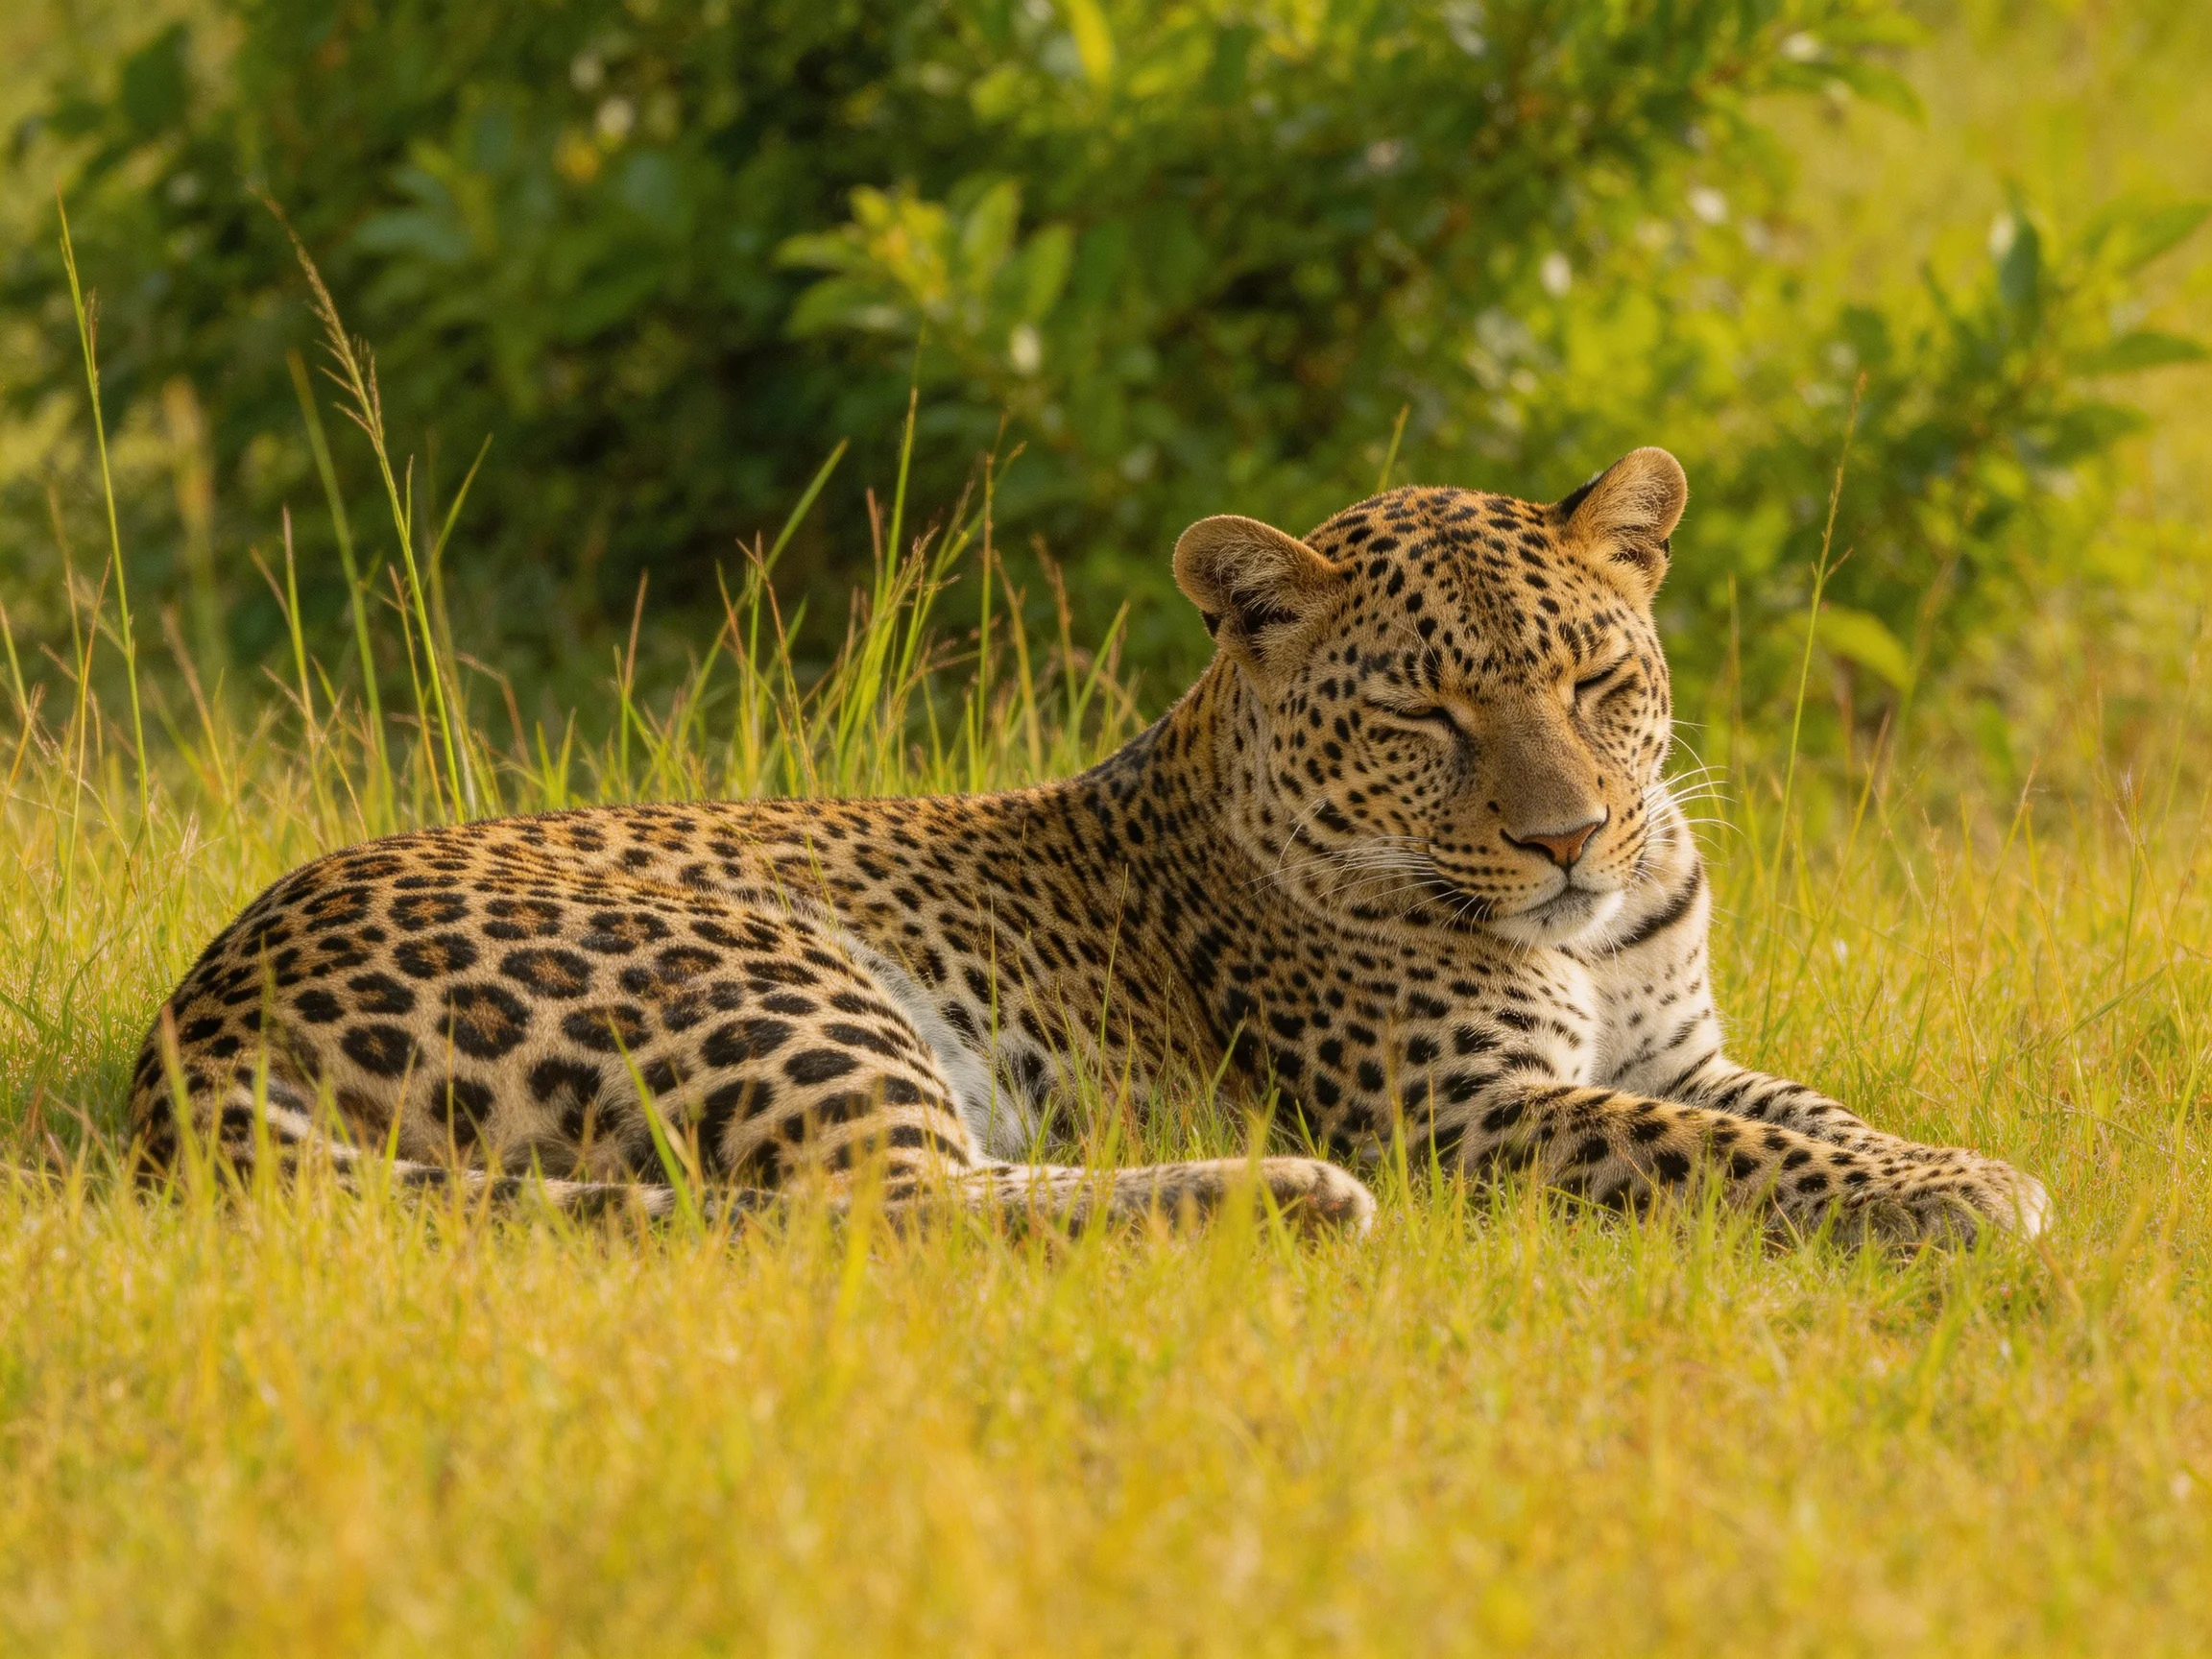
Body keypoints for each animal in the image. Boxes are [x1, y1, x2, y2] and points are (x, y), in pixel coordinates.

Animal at [129, 447, 2051, 1242]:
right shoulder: (1467, 1113)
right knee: (880, 1213)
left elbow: (1798, 1112)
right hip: (772, 975)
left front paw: (1955, 1160)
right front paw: (1961, 1199)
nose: (1573, 837)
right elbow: (1708, 1152)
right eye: (1424, 715)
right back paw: (1283, 1197)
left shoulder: (1677, 1040)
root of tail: (191, 1024)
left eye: (1596, 680)